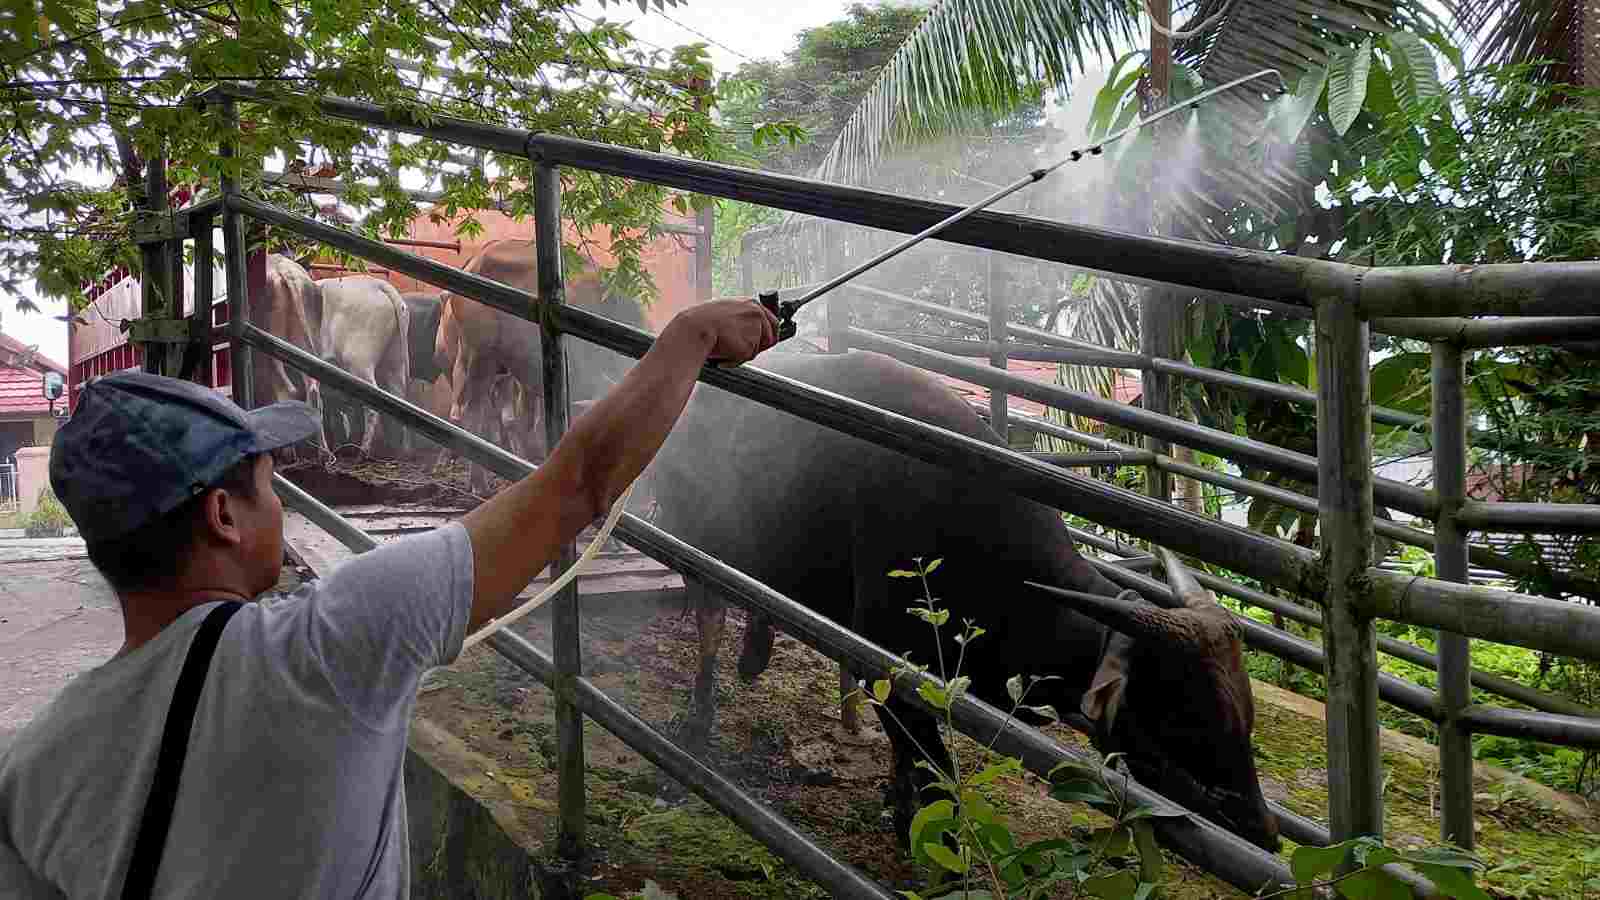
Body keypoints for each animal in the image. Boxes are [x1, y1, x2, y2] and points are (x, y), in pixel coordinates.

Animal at [643, 349, 1280, 845]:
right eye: (1182, 716)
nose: (1263, 831)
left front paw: (895, 801)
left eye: (1244, 715)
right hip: (696, 540)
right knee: (710, 619)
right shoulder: (890, 665)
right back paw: (700, 715)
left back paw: (755, 656)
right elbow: (929, 768)